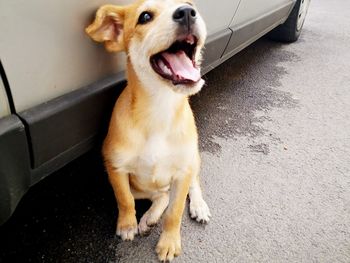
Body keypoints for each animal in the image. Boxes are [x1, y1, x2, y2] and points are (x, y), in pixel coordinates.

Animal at [86, 0, 211, 262]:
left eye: (190, 4)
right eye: (145, 17)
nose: (187, 12)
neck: (160, 109)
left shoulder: (183, 172)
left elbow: (175, 212)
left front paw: (169, 242)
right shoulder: (116, 168)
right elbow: (124, 200)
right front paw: (127, 226)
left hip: (192, 160)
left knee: (192, 184)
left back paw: (198, 206)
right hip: (140, 185)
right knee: (159, 196)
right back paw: (149, 218)